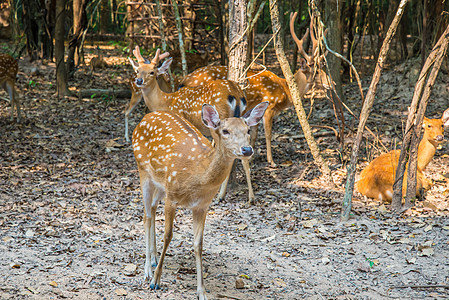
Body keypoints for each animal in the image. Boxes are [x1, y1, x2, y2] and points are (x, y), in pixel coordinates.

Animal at [131, 102, 268, 298]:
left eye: (248, 130)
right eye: (225, 131)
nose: (247, 149)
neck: (198, 176)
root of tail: (144, 118)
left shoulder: (202, 206)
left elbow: (198, 244)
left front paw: (201, 291)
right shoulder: (172, 196)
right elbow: (168, 236)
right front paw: (155, 281)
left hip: (161, 184)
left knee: (150, 210)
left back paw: (154, 259)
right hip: (143, 170)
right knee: (147, 216)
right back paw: (148, 271)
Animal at [178, 11, 328, 166]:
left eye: (322, 68)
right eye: (316, 72)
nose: (330, 83)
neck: (285, 90)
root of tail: (183, 80)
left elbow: (254, 133)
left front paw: (251, 157)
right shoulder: (269, 105)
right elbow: (268, 134)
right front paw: (271, 161)